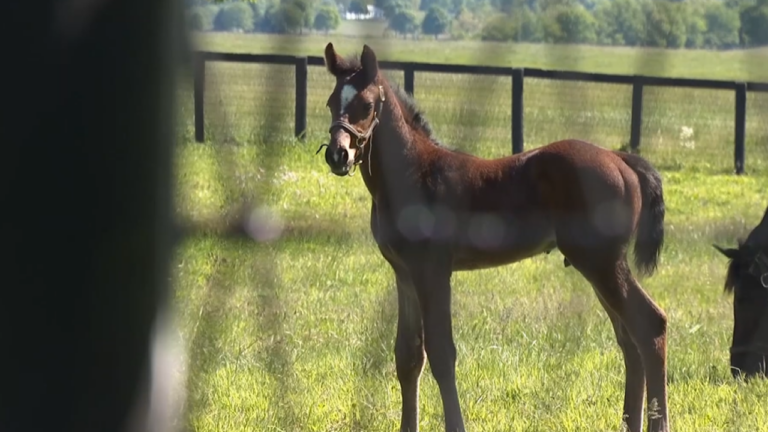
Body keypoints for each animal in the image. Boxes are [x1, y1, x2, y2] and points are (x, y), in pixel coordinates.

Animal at [318, 43, 670, 432]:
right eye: (331, 102)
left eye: (366, 105)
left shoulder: (432, 270)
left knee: (649, 326)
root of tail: (621, 159)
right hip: (598, 265)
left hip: (601, 262)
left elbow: (441, 352)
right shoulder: (404, 272)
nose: (338, 155)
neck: (412, 174)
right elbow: (408, 356)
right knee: (630, 340)